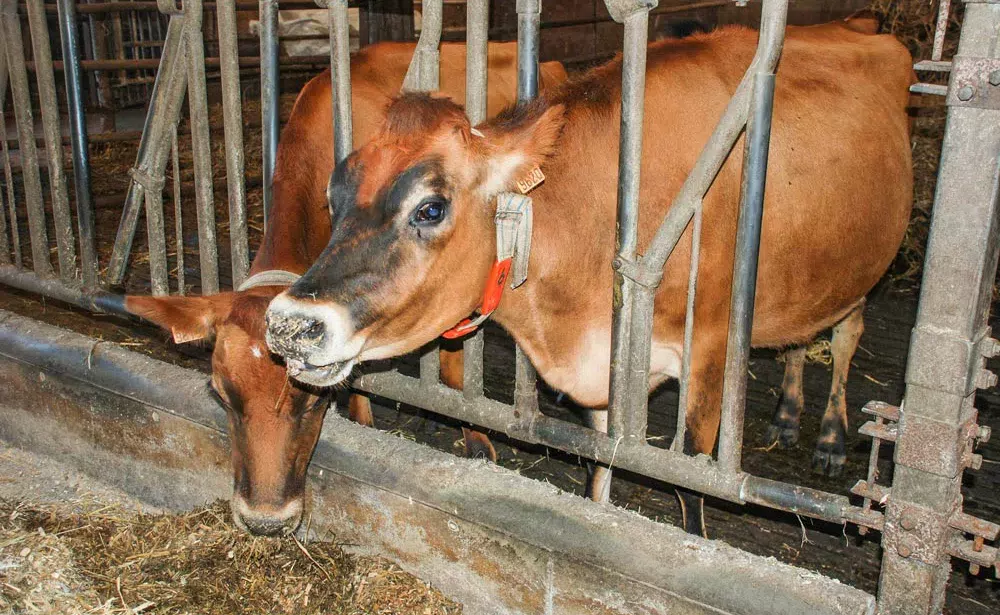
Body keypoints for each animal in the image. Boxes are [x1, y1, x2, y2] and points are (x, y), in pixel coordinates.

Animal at [264, 21, 916, 536]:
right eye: (334, 197)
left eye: (430, 208)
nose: (291, 324)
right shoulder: (603, 368)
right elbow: (600, 468)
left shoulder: (708, 350)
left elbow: (690, 487)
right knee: (801, 337)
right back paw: (785, 414)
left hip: (864, 267)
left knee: (846, 335)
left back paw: (830, 440)